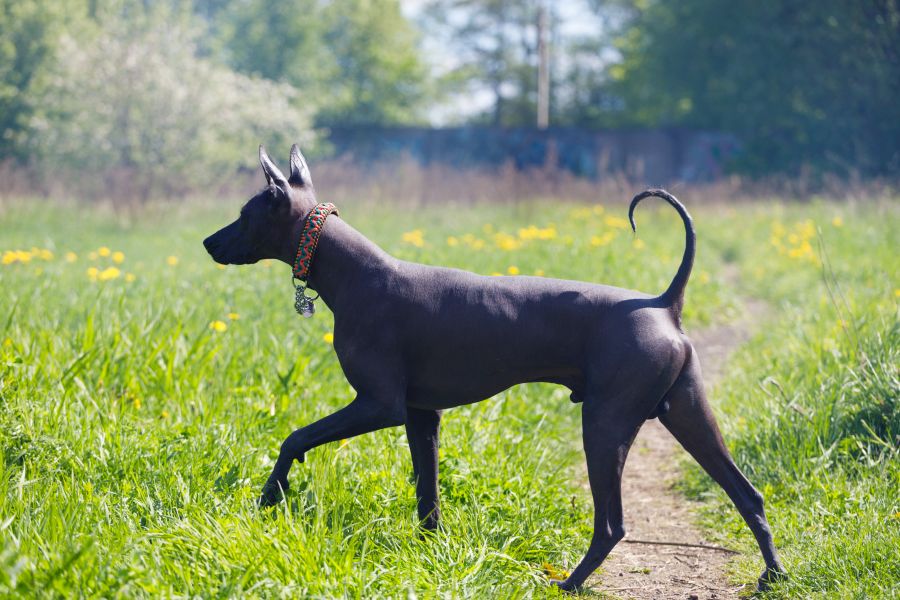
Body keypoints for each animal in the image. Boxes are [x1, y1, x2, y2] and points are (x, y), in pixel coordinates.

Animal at [206, 144, 788, 592]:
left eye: (245, 213)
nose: (209, 242)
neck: (355, 273)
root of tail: (662, 303)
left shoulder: (378, 406)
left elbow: (295, 438)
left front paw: (270, 496)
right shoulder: (421, 416)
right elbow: (428, 495)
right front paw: (430, 553)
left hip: (604, 424)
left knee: (613, 524)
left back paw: (570, 583)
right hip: (687, 414)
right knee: (748, 494)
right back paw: (773, 577)